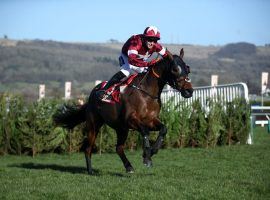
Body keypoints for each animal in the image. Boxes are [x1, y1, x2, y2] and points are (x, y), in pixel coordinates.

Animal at [53, 48, 192, 173]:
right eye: (175, 69)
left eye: (187, 68)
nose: (189, 91)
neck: (146, 93)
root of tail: (93, 92)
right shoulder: (131, 120)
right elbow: (145, 131)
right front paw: (147, 156)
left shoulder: (151, 120)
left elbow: (163, 129)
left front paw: (152, 151)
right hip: (94, 125)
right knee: (88, 148)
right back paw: (90, 171)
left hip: (121, 129)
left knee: (118, 148)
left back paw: (129, 167)